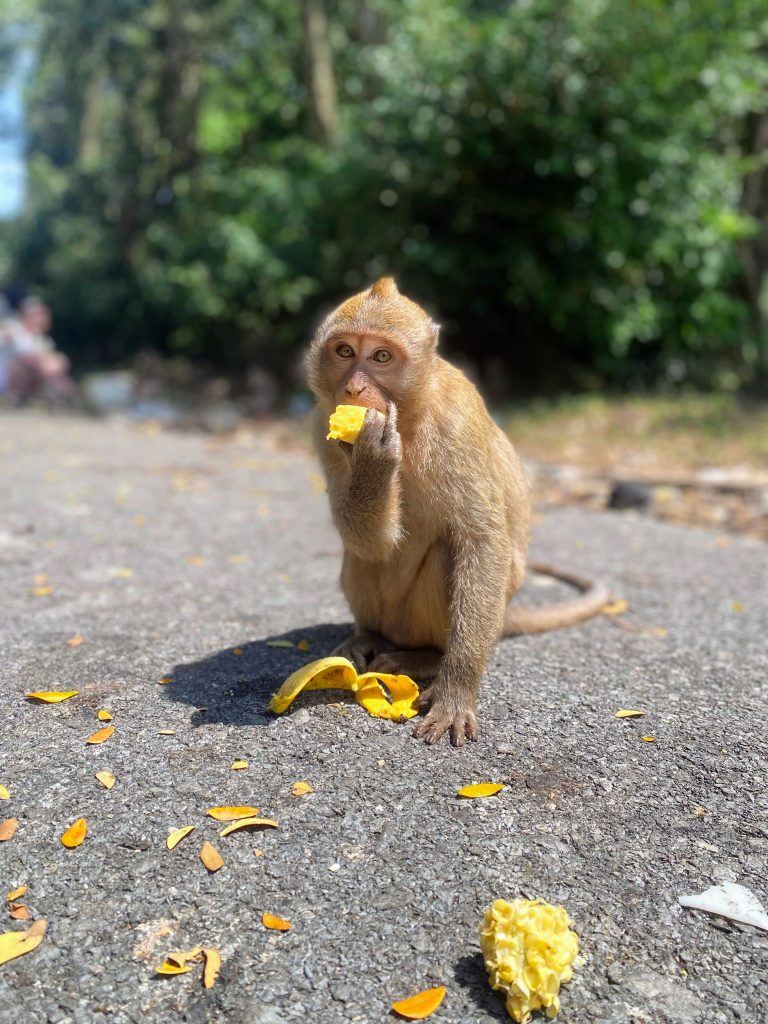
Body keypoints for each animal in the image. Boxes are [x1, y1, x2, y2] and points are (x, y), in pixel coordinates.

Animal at [303, 276, 610, 749]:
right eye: (344, 352)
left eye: (381, 356)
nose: (353, 390)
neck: (409, 418)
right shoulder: (323, 421)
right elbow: (371, 544)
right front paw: (371, 460)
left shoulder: (455, 422)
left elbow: (481, 539)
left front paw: (456, 692)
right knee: (360, 557)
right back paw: (368, 637)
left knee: (452, 551)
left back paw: (427, 659)